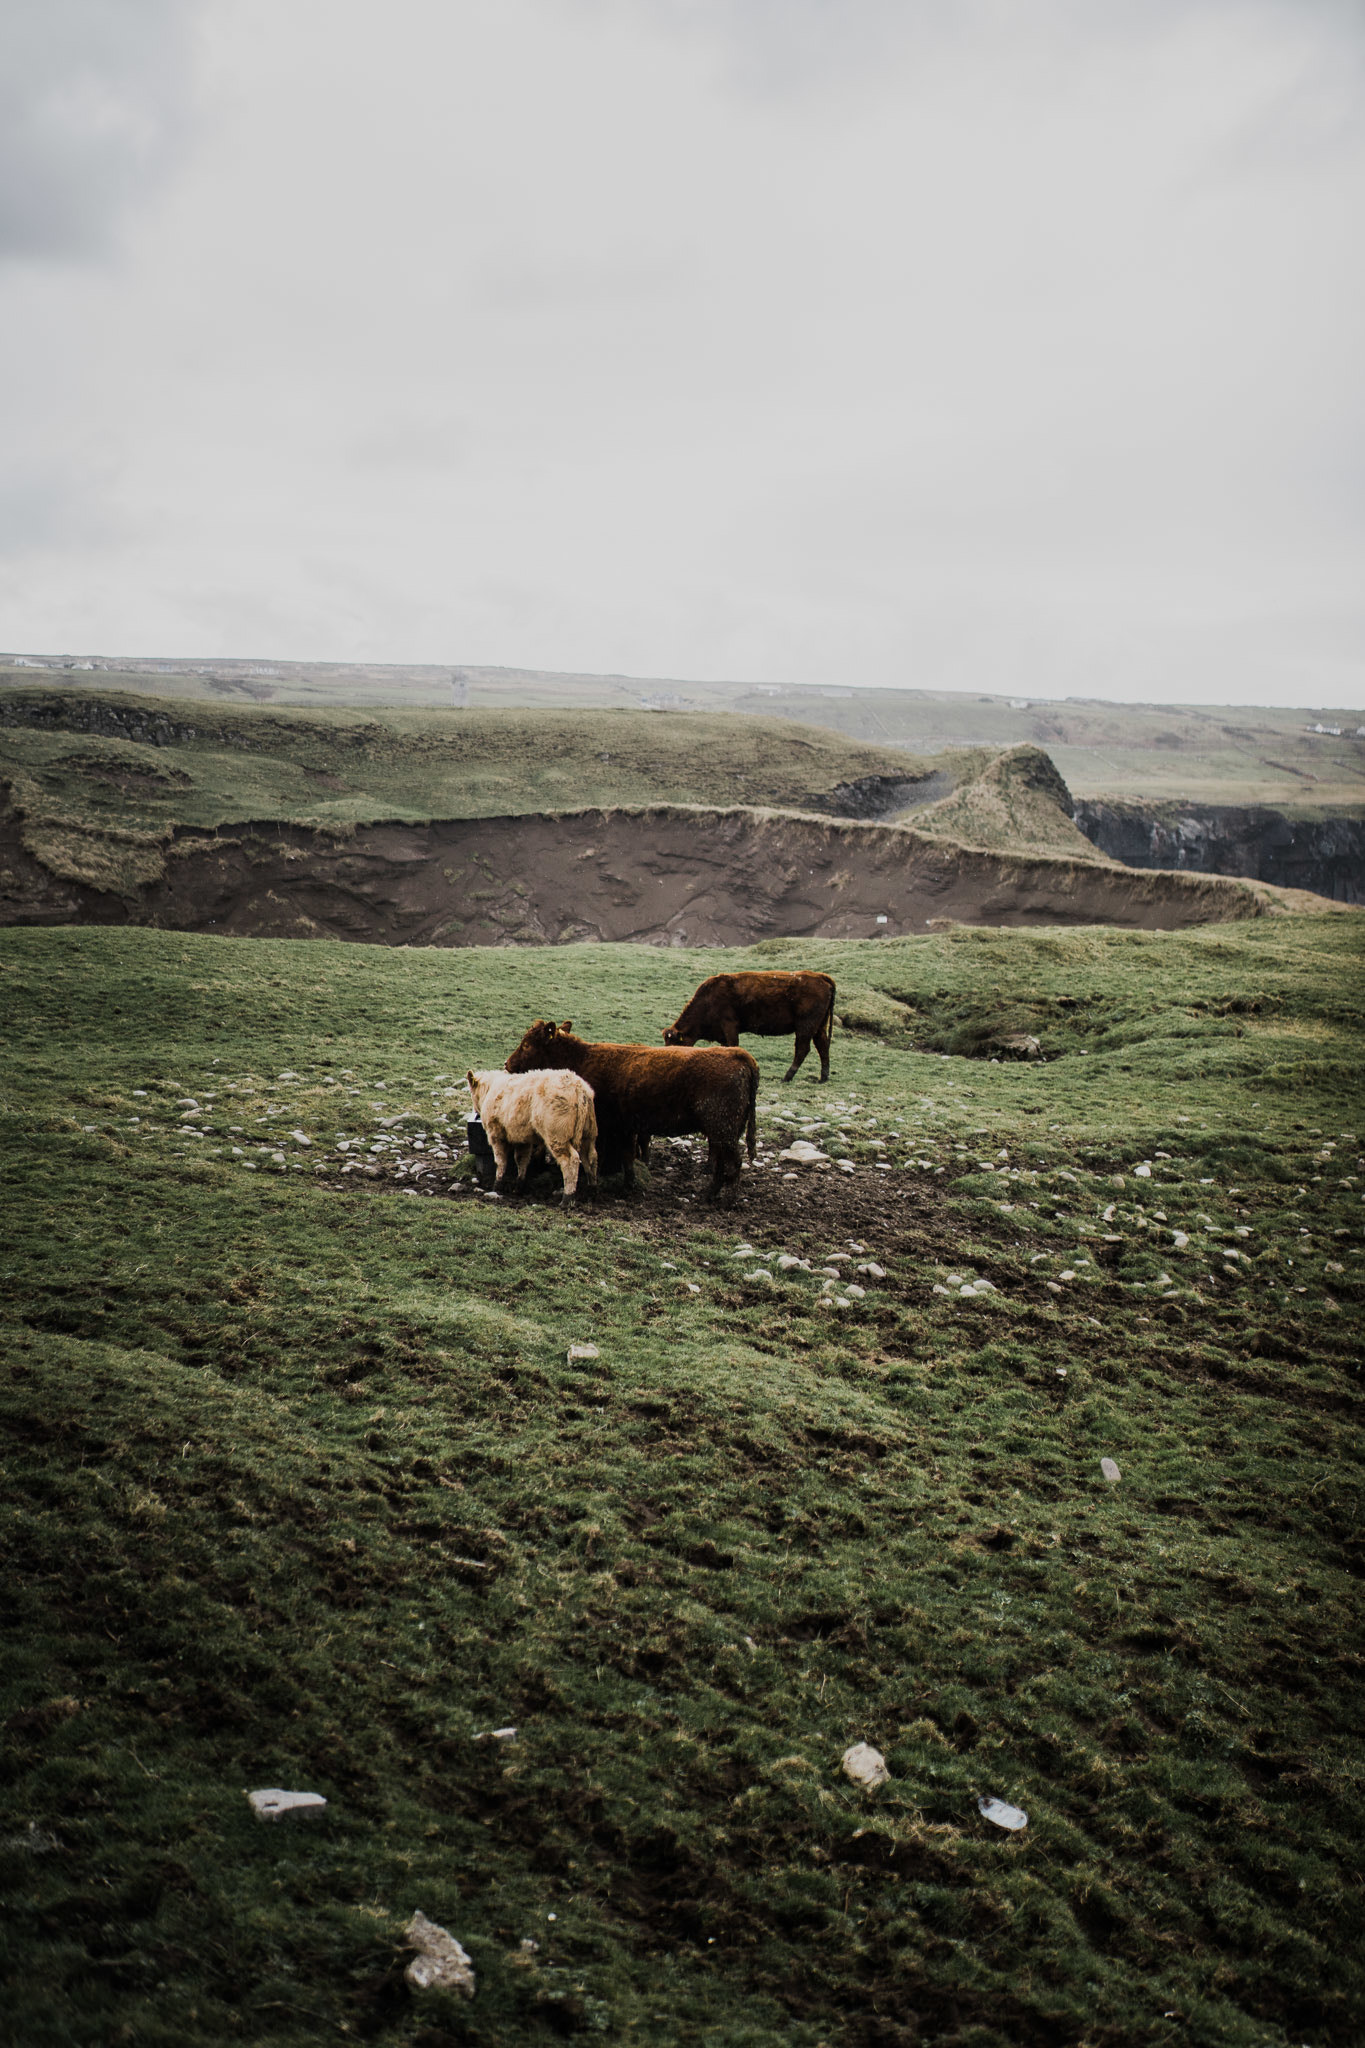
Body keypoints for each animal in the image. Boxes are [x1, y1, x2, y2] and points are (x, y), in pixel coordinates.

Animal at [466, 1064, 593, 1204]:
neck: (490, 1089)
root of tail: (576, 1085)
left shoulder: (496, 1135)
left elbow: (500, 1161)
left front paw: (497, 1186)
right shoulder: (522, 1139)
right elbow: (522, 1160)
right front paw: (518, 1187)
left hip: (557, 1137)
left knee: (571, 1160)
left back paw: (567, 1198)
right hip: (588, 1134)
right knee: (590, 1157)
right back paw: (592, 1189)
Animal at [501, 1019, 757, 1204]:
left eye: (527, 1045)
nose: (507, 1064)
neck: (582, 1058)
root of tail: (737, 1054)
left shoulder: (603, 1128)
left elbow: (595, 1158)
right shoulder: (625, 1126)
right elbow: (627, 1157)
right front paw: (629, 1186)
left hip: (723, 1130)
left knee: (734, 1164)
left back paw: (728, 1201)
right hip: (723, 1133)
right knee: (723, 1164)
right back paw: (710, 1195)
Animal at [658, 966, 839, 1081]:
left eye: (674, 1045)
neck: (708, 1000)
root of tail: (820, 977)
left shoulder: (730, 1025)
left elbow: (733, 1045)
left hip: (805, 1026)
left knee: (802, 1049)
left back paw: (787, 1077)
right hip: (819, 1027)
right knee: (822, 1046)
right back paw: (823, 1077)